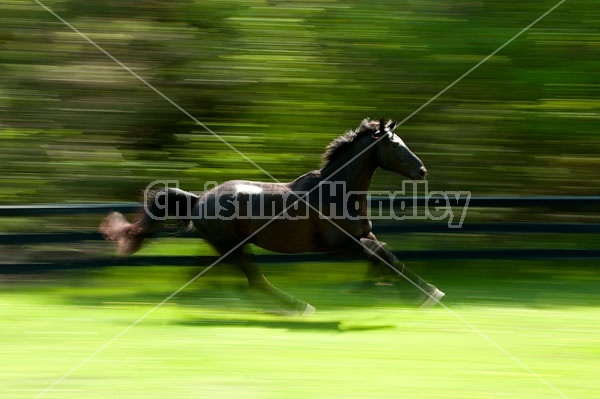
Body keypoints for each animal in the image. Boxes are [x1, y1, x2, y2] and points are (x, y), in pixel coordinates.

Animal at [101, 119, 442, 312]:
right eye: (395, 145)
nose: (422, 170)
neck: (337, 191)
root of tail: (199, 199)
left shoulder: (362, 235)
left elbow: (387, 254)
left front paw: (410, 289)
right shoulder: (341, 245)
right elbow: (383, 256)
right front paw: (424, 293)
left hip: (223, 248)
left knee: (207, 272)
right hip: (235, 247)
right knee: (255, 281)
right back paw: (297, 307)